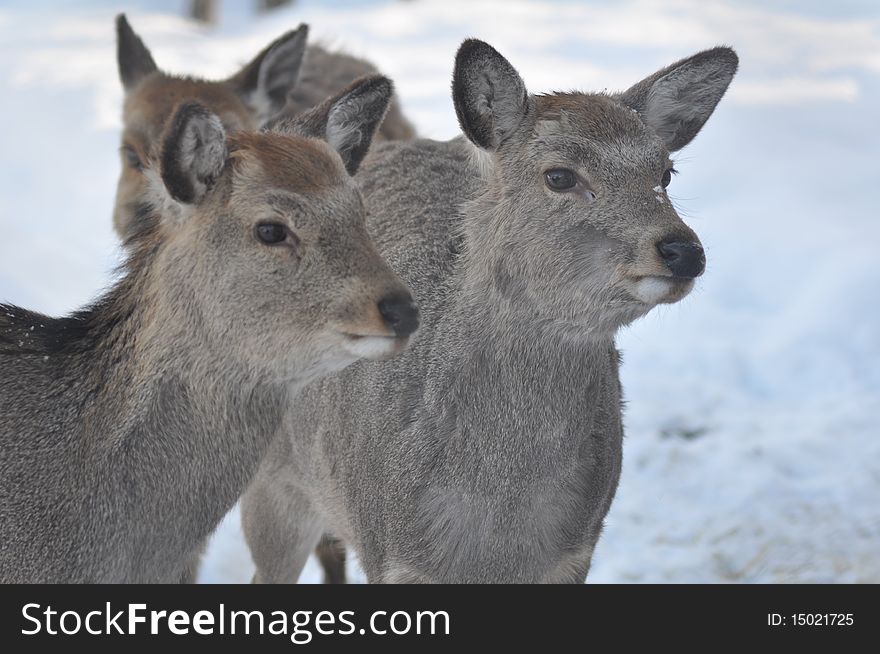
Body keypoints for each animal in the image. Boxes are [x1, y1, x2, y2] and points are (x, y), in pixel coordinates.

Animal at [239, 39, 736, 584]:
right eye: (560, 175)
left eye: (665, 172)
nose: (683, 250)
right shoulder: (387, 552)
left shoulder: (577, 551)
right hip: (272, 485)